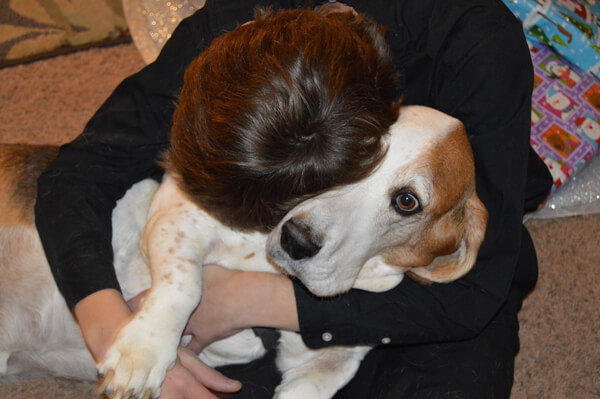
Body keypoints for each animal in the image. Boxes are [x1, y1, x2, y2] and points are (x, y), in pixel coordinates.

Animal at [0, 104, 488, 398]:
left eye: (408, 201)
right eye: (354, 156)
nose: (296, 240)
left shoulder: (324, 367)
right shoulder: (176, 217)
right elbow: (185, 290)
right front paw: (144, 353)